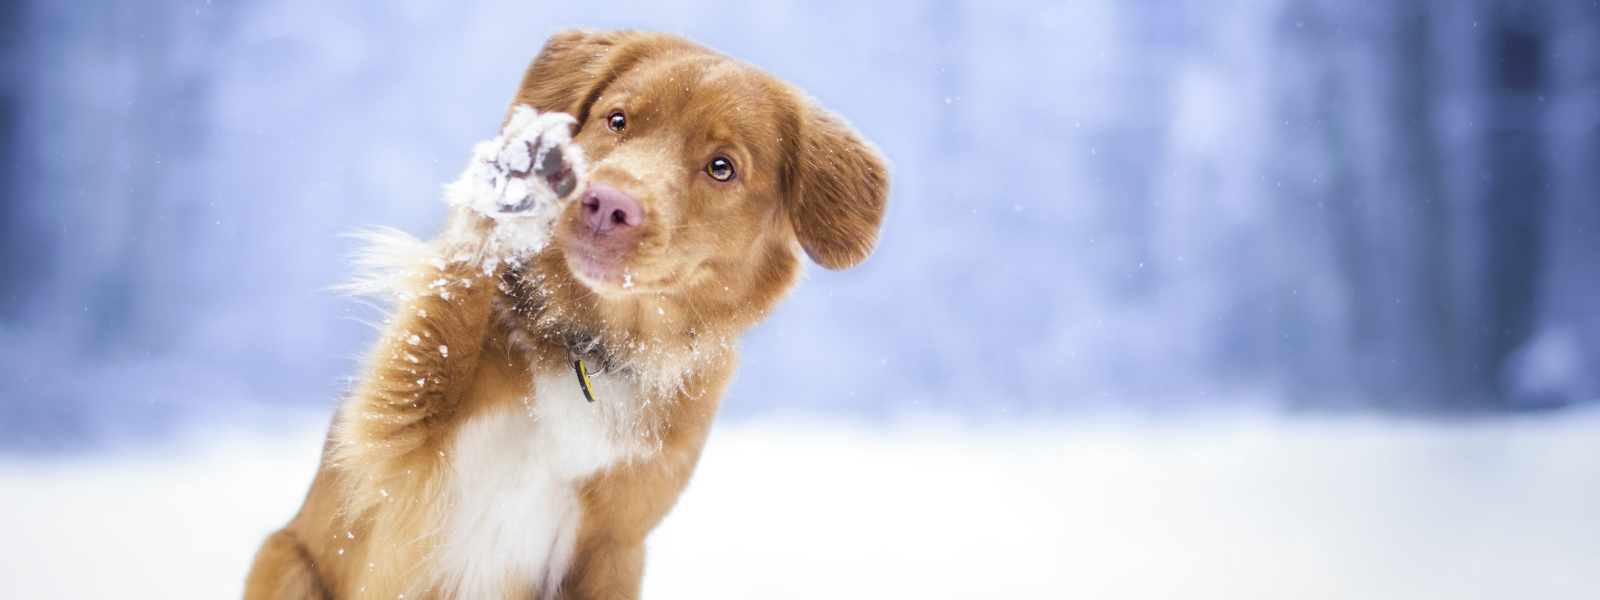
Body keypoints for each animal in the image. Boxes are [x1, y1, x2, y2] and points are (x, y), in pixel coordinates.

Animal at [241, 29, 889, 600]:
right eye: (618, 120)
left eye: (722, 166)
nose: (607, 205)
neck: (592, 346)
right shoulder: (404, 437)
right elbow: (446, 319)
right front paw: (515, 175)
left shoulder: (615, 544)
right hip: (282, 558)